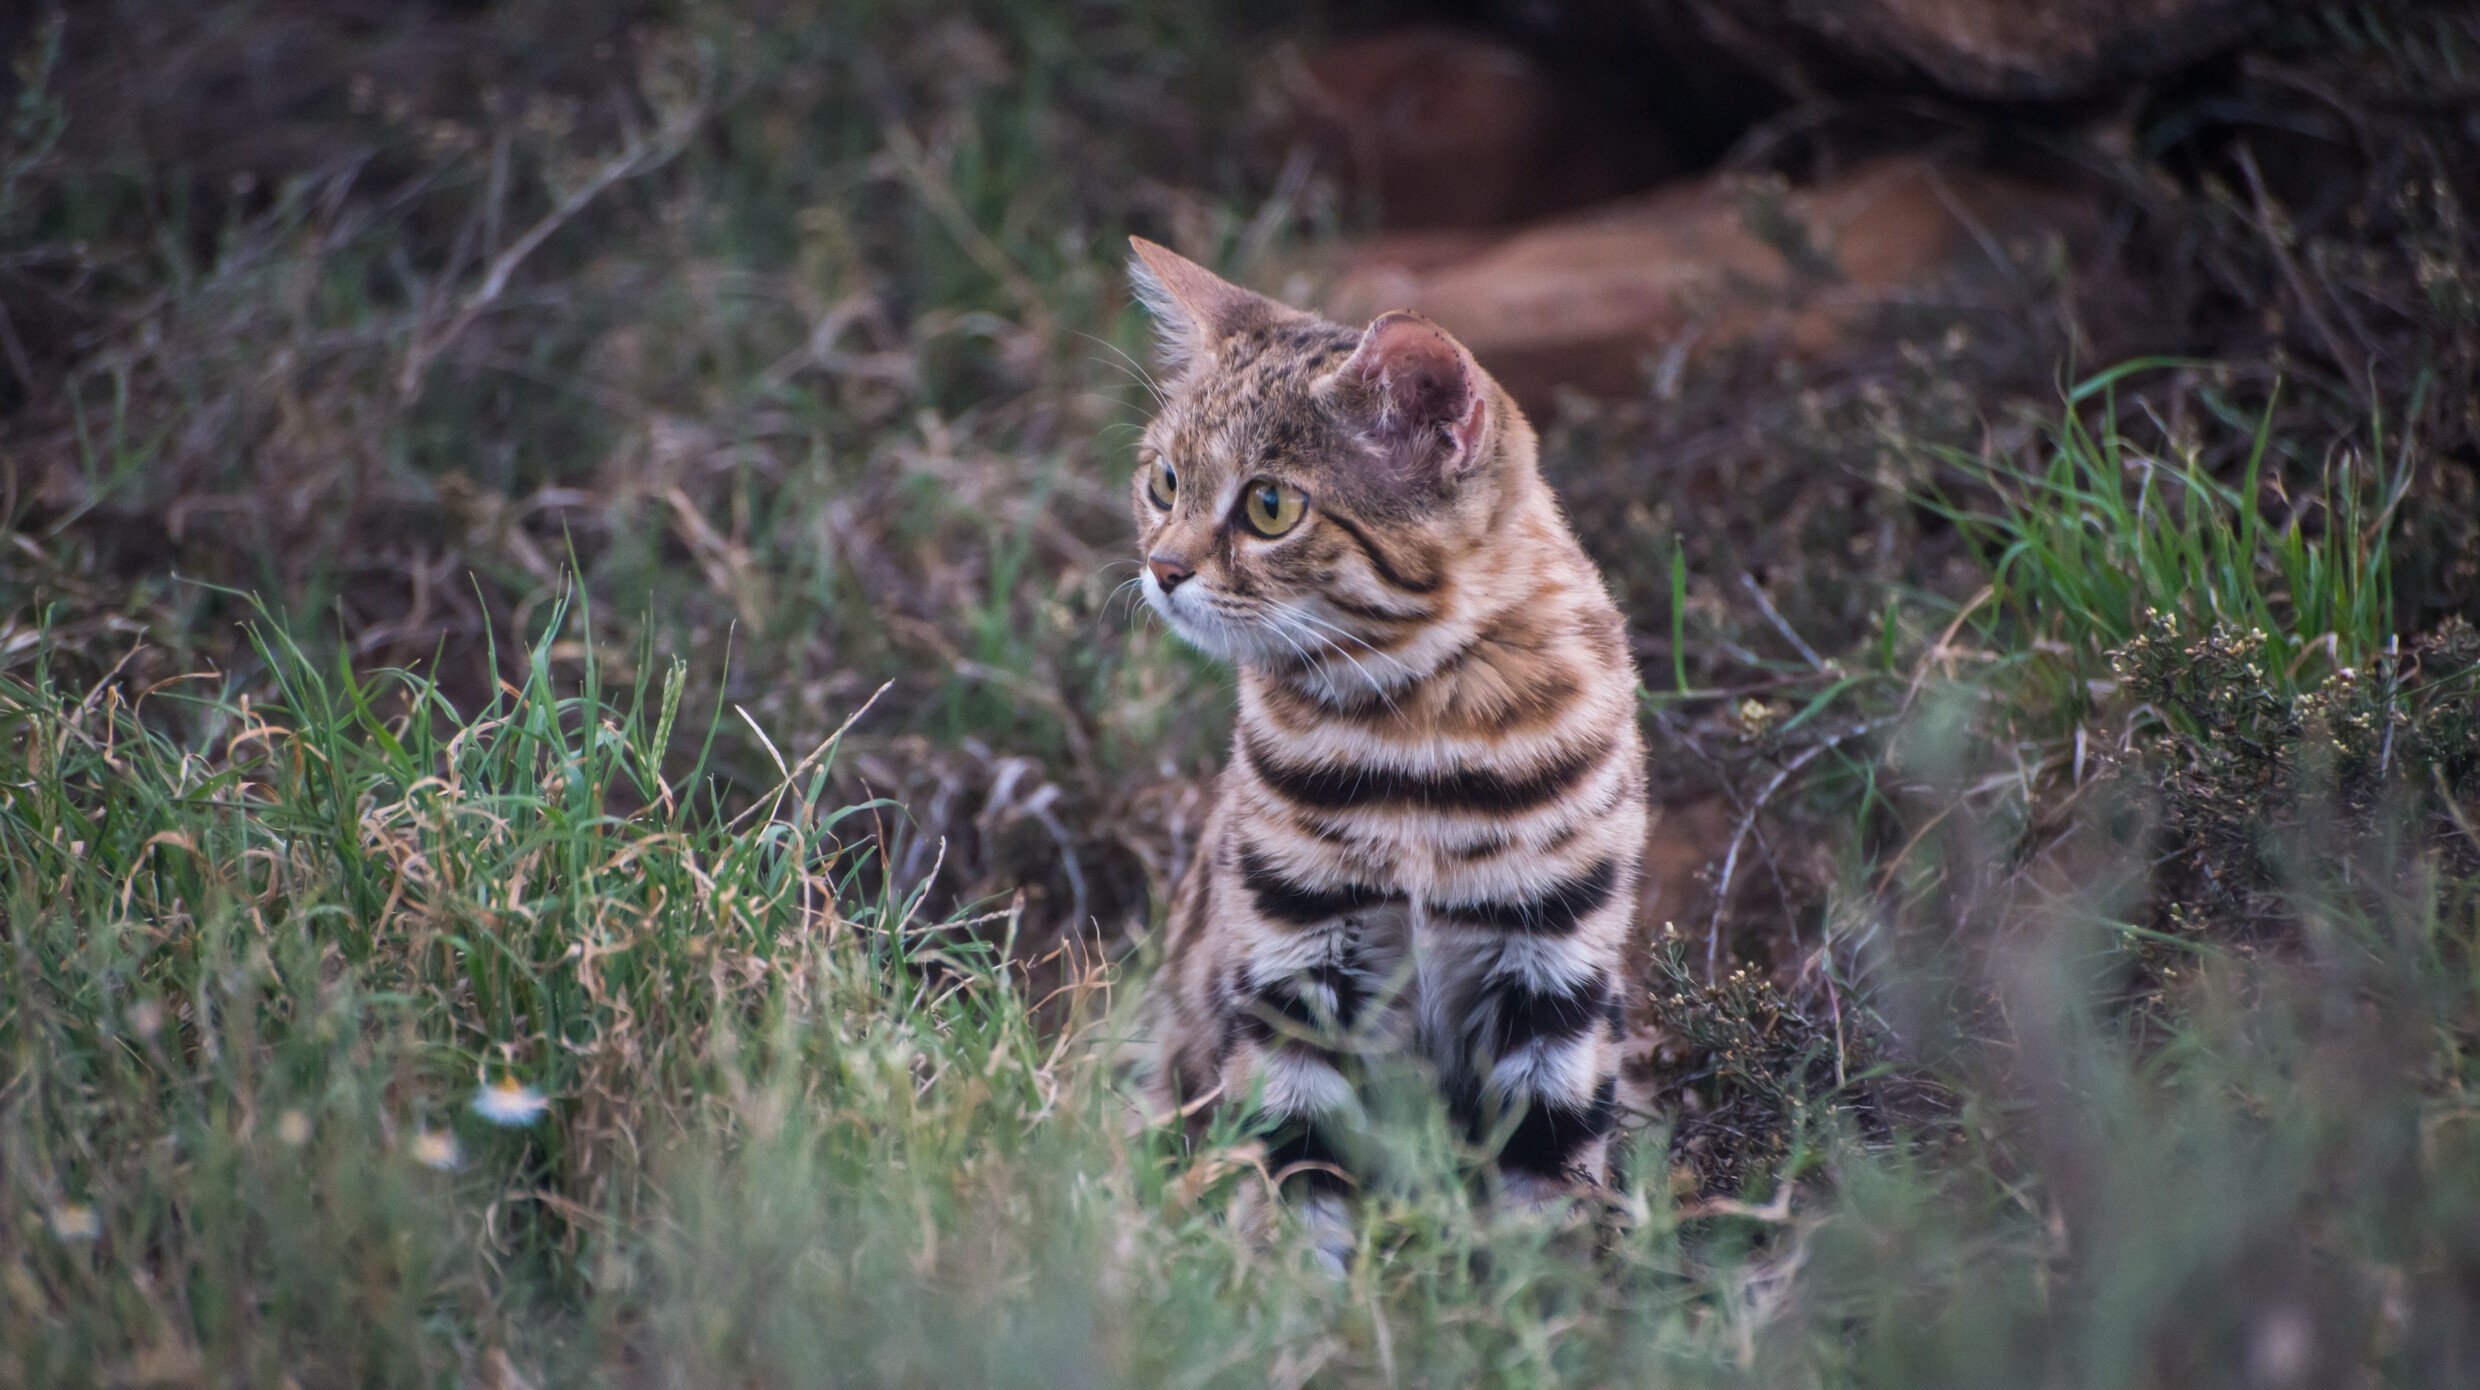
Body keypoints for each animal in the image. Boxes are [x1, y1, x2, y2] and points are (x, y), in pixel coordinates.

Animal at [1135, 235, 1656, 1216]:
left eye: (1269, 506)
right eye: (1163, 482)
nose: (1161, 568)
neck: (1415, 736)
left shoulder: (1556, 979)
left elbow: (1550, 1201)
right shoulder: (1293, 969)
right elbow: (1295, 1190)